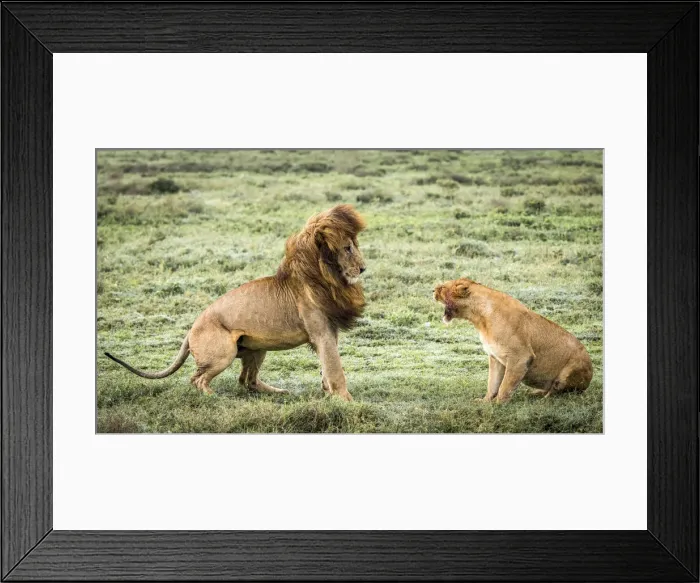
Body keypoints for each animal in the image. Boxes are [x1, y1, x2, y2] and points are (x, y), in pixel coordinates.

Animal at [105, 204, 367, 401]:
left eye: (355, 246)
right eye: (347, 248)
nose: (363, 268)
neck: (326, 278)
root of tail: (190, 330)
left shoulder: (329, 332)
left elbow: (326, 368)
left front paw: (327, 393)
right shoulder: (321, 333)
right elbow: (335, 369)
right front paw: (346, 401)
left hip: (257, 347)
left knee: (247, 381)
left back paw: (278, 392)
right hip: (225, 353)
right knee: (197, 378)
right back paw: (214, 397)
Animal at [434, 277, 593, 403]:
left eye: (442, 288)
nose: (432, 290)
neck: (480, 318)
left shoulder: (520, 357)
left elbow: (504, 386)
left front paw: (498, 405)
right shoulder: (495, 357)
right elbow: (492, 383)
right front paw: (485, 401)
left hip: (571, 372)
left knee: (558, 393)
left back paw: (542, 400)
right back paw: (535, 393)